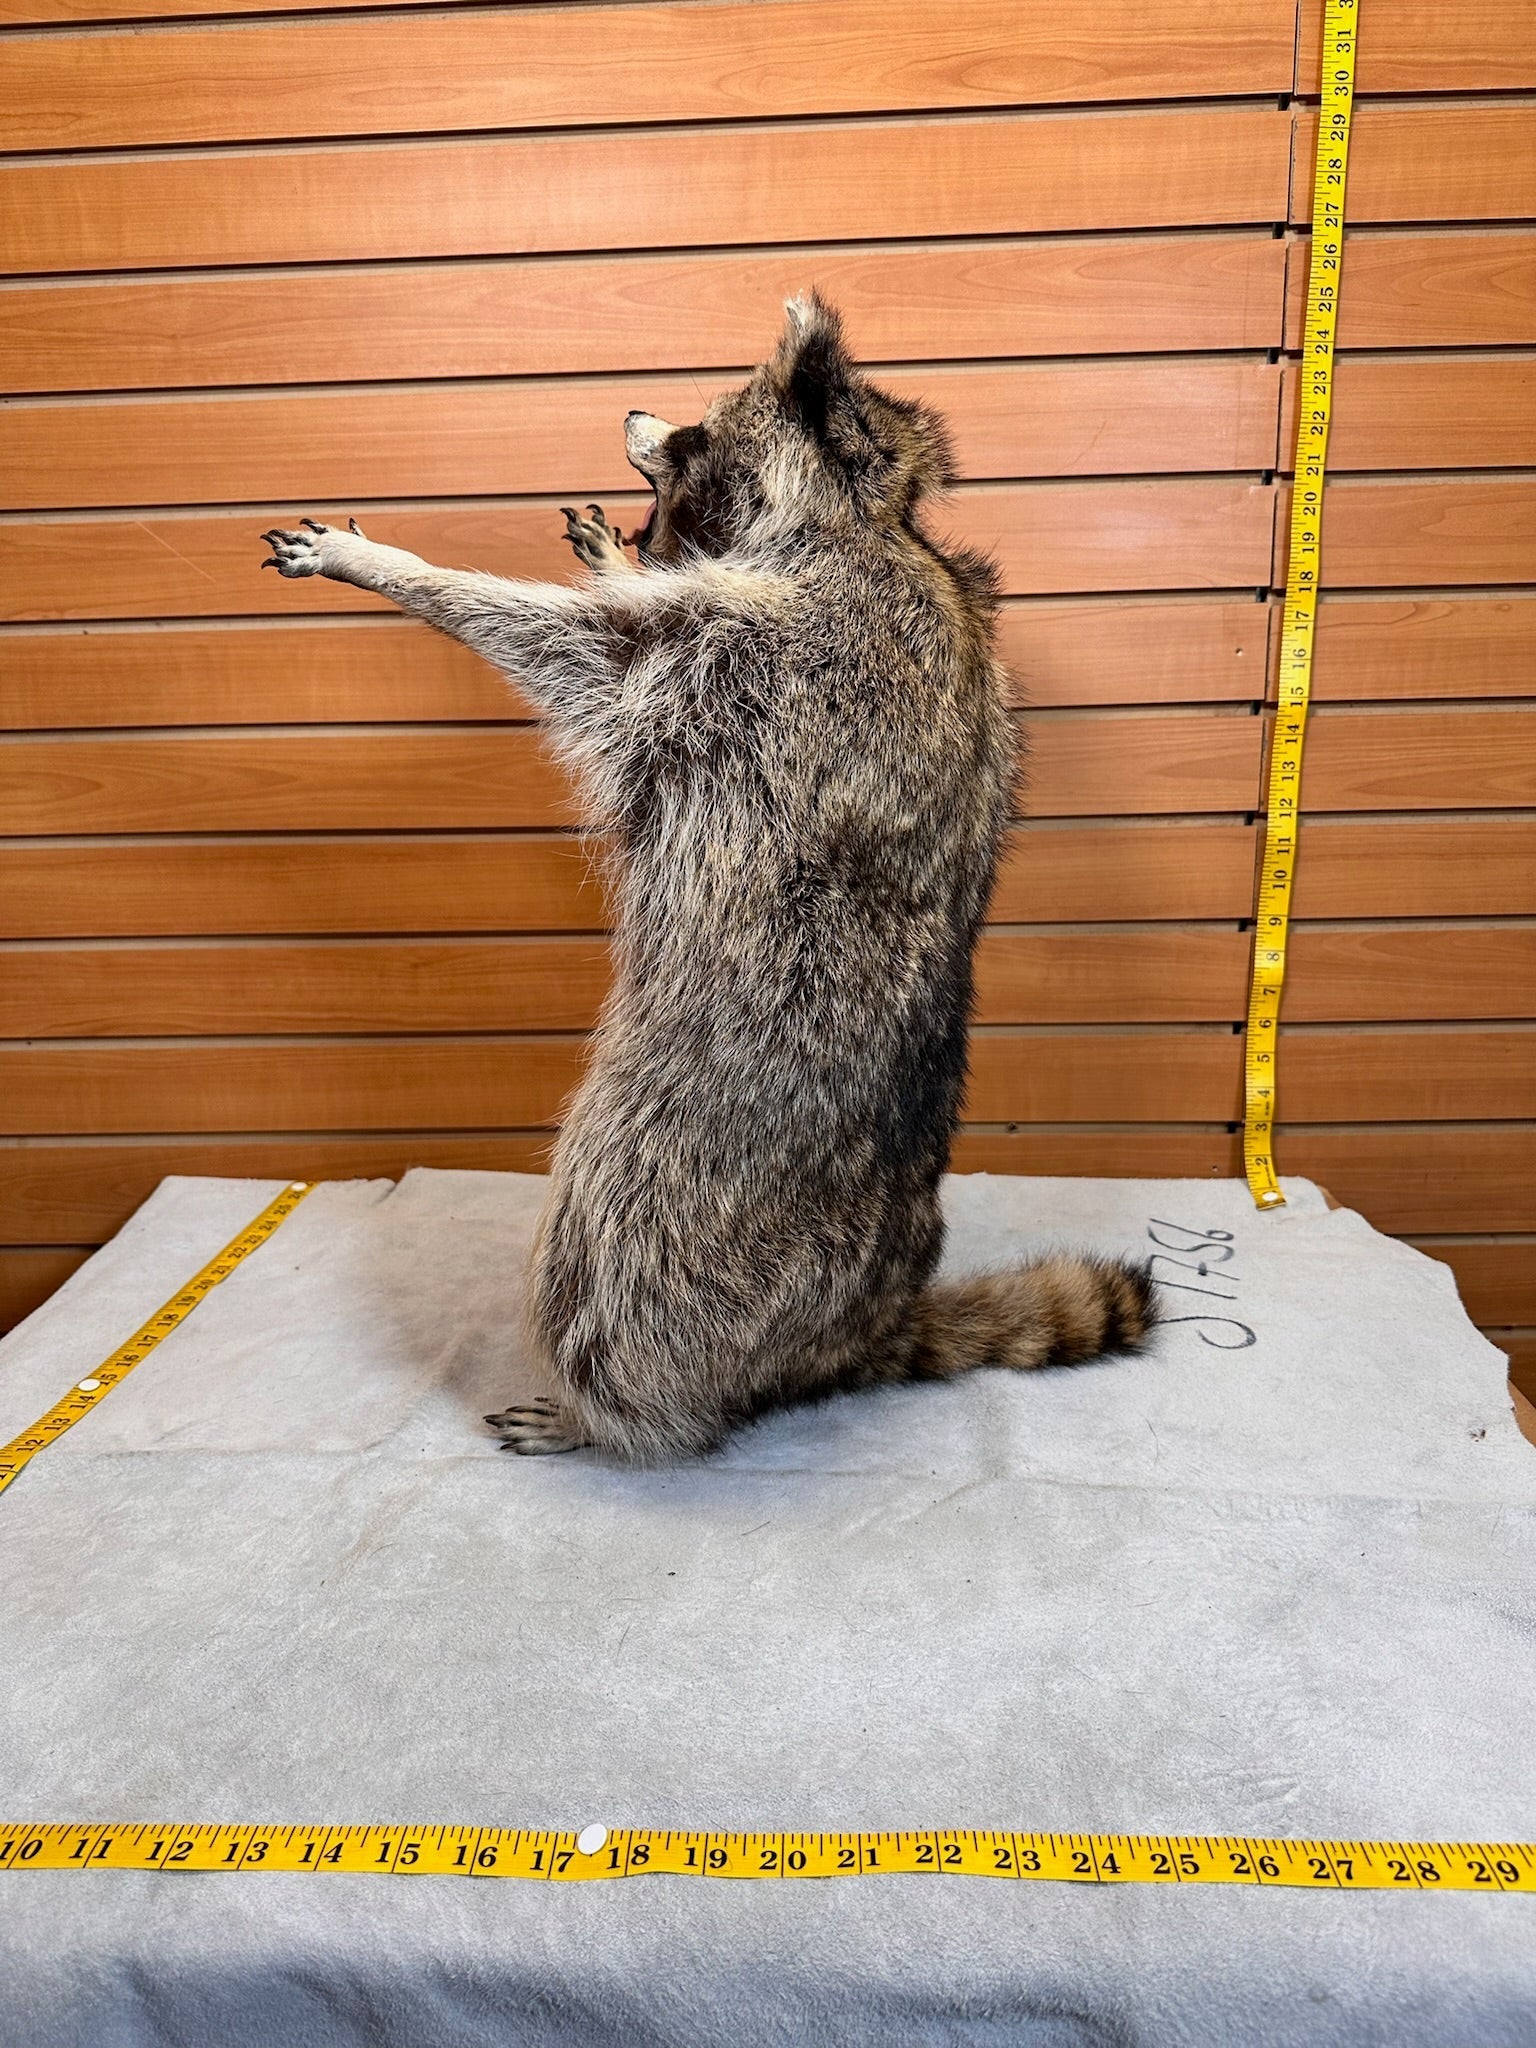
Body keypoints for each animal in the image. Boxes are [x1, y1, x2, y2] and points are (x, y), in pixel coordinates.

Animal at [259, 294, 1157, 1461]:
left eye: (699, 421)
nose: (634, 408)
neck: (868, 520)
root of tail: (855, 1333)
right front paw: (615, 557)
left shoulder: (752, 658)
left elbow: (577, 647)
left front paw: (402, 570)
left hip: (674, 1175)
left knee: (608, 1269)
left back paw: (610, 1412)